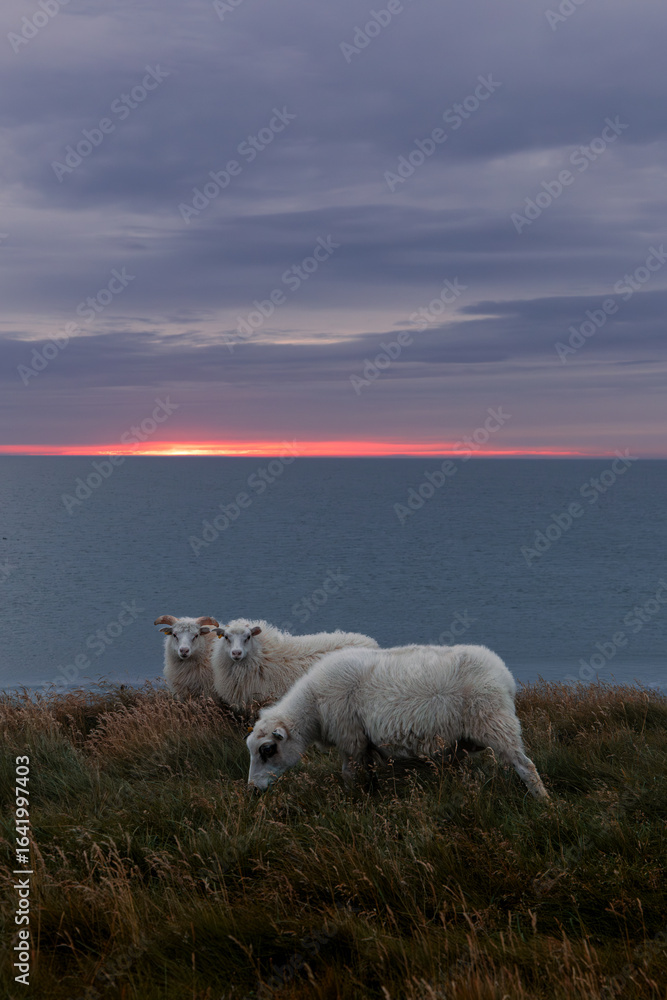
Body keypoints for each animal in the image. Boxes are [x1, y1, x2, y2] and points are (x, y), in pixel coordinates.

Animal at [246, 643, 549, 799]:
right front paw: (373, 794)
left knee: (526, 765)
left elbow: (348, 772)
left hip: (495, 720)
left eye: (267, 749)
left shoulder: (350, 737)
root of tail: (503, 674)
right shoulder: (363, 741)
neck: (313, 707)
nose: (252, 790)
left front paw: (350, 799)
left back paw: (543, 802)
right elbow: (368, 770)